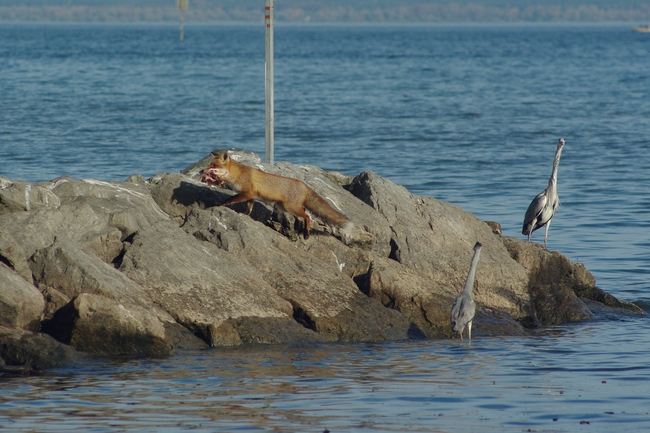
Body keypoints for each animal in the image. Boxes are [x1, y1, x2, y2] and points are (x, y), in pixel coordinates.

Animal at [200, 150, 352, 239]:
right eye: (209, 164)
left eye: (213, 166)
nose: (201, 171)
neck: (237, 174)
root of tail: (304, 185)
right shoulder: (251, 197)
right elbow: (249, 208)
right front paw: (246, 216)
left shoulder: (246, 193)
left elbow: (230, 199)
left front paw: (220, 203)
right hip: (284, 208)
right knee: (304, 215)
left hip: (290, 207)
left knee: (308, 216)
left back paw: (306, 233)